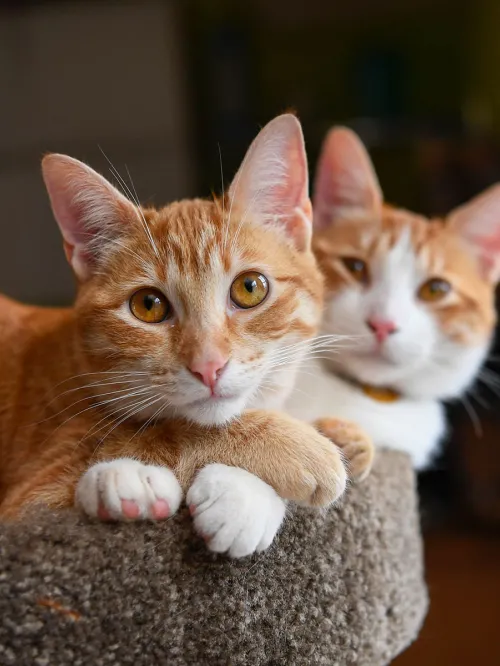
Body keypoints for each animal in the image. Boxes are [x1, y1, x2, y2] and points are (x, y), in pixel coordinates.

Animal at [0, 118, 370, 556]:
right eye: (148, 305)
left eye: (250, 288)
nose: (208, 366)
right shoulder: (32, 501)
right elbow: (168, 432)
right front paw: (300, 445)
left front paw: (341, 437)